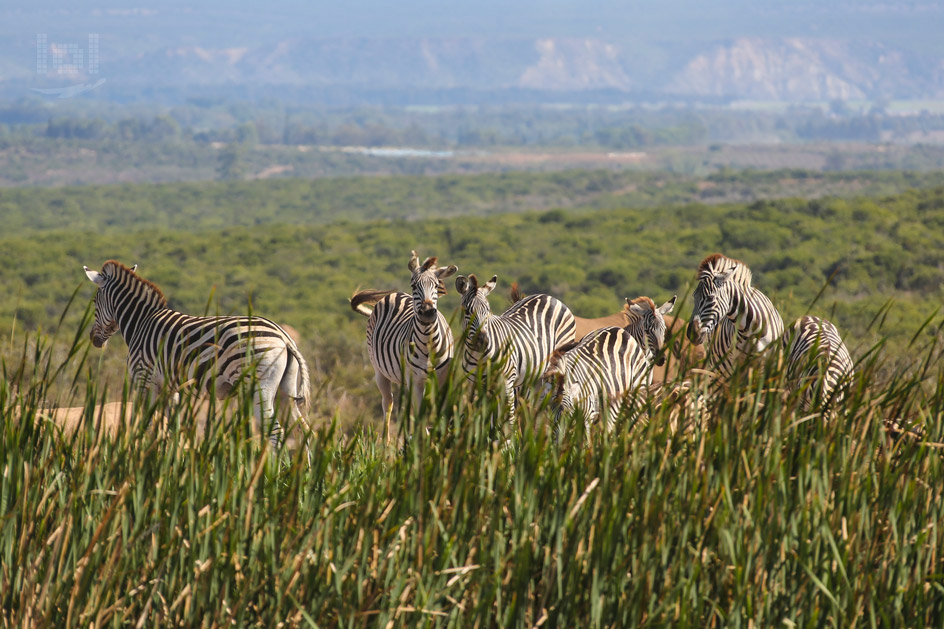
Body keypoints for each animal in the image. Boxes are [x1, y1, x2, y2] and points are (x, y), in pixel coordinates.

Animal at [83, 258, 312, 452]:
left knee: (276, 433)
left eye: (94, 302)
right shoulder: (170, 387)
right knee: (302, 430)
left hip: (257, 388)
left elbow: (144, 425)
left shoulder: (143, 379)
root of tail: (283, 335)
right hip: (285, 391)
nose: (93, 339)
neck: (141, 322)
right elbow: (171, 429)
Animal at [352, 250, 460, 442]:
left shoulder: (443, 377)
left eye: (436, 286)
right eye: (414, 285)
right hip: (379, 370)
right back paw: (385, 442)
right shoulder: (415, 380)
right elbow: (420, 415)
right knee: (388, 402)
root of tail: (395, 294)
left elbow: (441, 410)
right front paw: (424, 442)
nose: (427, 313)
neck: (429, 343)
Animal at [456, 272, 580, 422]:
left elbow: (508, 416)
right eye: (467, 311)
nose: (483, 342)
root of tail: (548, 296)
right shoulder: (475, 384)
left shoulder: (506, 382)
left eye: (487, 311)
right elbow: (479, 416)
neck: (479, 356)